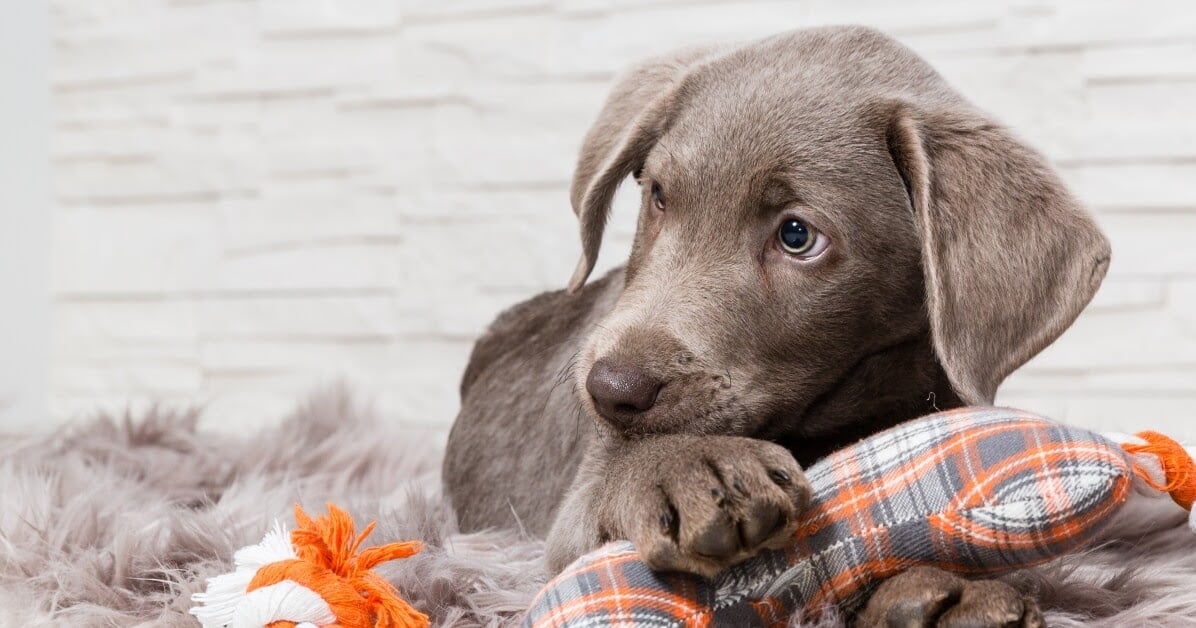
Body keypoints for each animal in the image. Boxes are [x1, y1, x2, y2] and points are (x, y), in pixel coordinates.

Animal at [444, 26, 1105, 622]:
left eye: (796, 235)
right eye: (658, 195)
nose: (609, 390)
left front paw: (953, 592)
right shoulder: (570, 520)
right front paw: (685, 466)